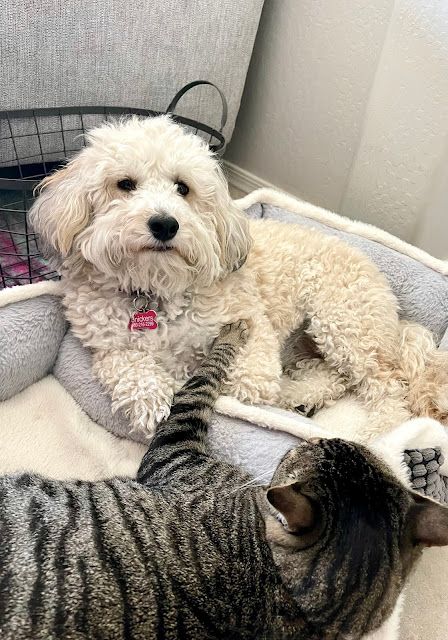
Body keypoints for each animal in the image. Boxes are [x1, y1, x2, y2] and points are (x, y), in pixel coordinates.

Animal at [0, 324, 448, 640]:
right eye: (331, 443)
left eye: (313, 447)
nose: (316, 437)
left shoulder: (173, 452)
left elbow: (201, 383)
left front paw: (229, 334)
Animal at [28, 117, 448, 442]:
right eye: (125, 184)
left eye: (183, 187)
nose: (165, 224)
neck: (155, 288)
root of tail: (394, 311)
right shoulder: (109, 346)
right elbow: (129, 368)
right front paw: (153, 402)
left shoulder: (251, 329)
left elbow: (247, 382)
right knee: (336, 376)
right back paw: (299, 396)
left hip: (344, 322)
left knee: (389, 388)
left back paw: (373, 436)